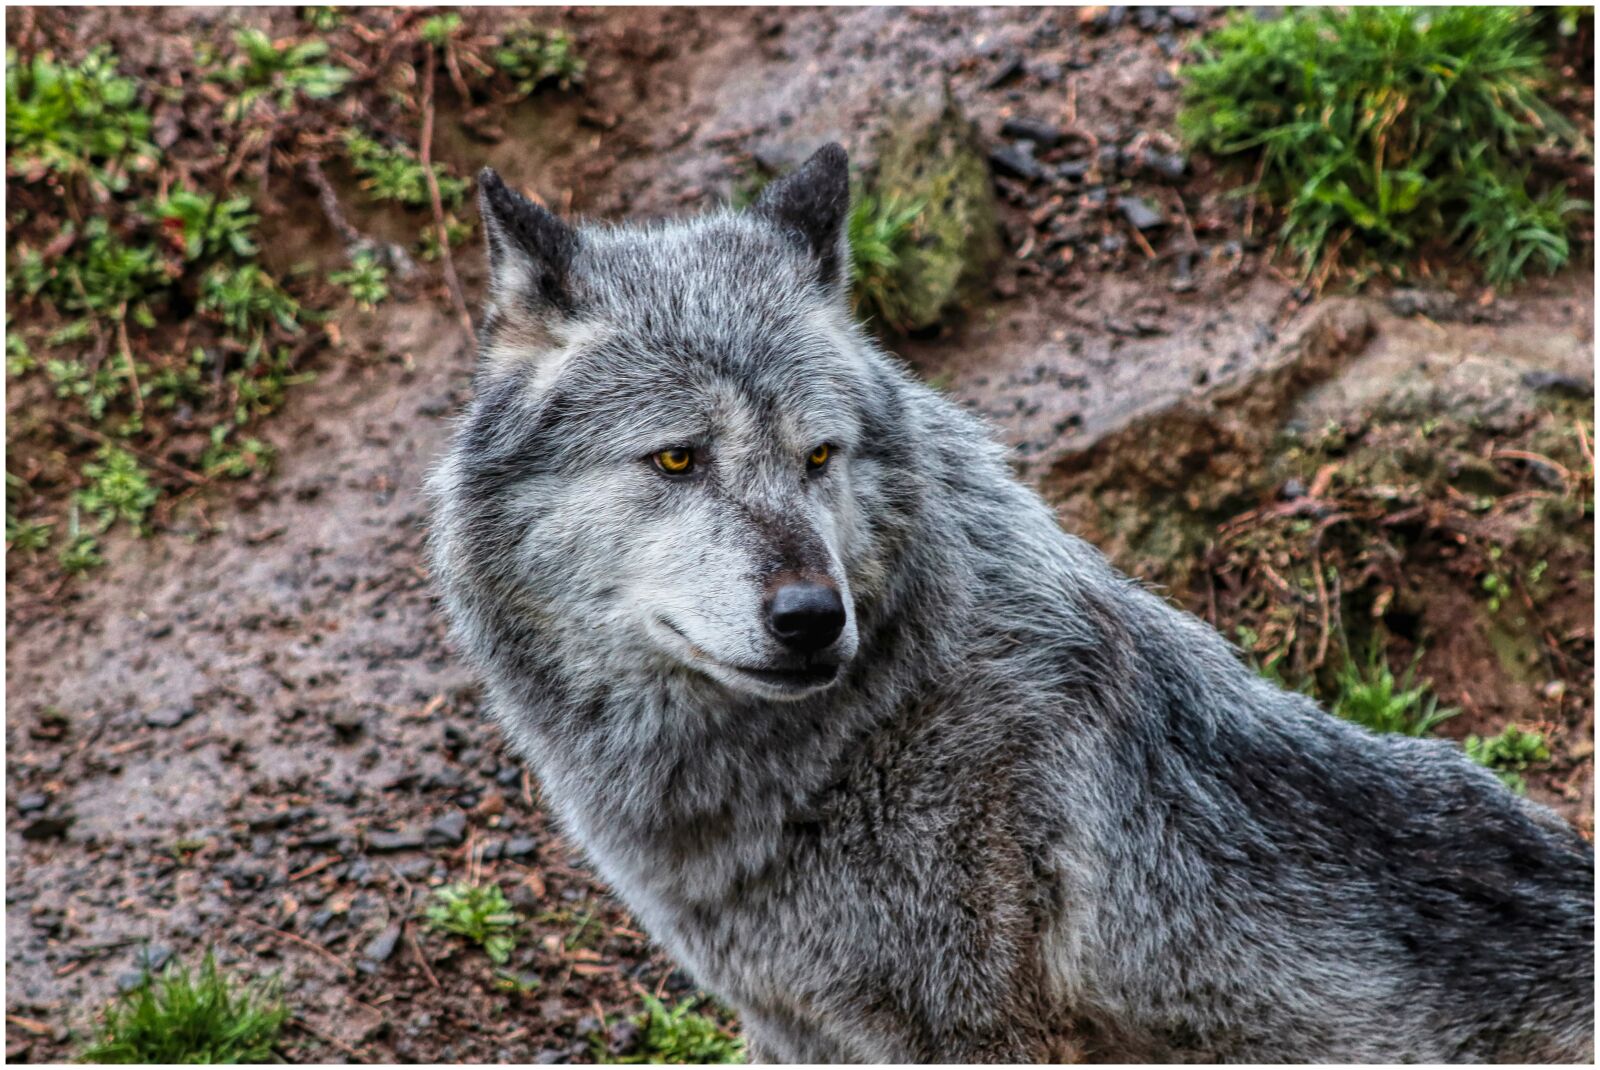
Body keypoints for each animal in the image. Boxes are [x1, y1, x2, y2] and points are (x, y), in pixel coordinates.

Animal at [428, 144, 1594, 1062]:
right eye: (677, 457)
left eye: (818, 456)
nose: (813, 617)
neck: (860, 735)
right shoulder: (794, 1025)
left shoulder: (975, 1029)